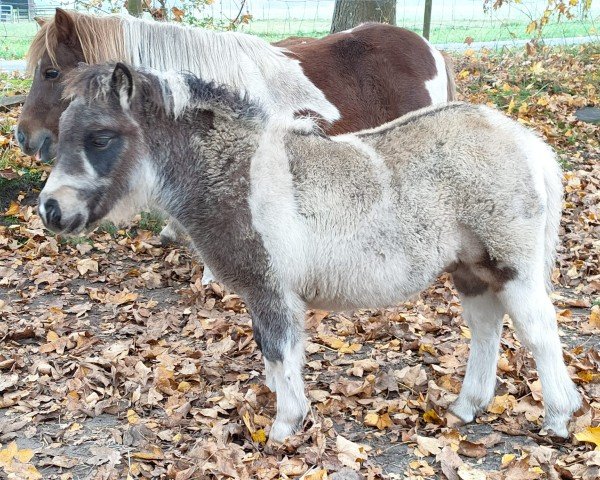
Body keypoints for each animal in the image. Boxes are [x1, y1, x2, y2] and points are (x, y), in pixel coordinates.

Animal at [38, 63, 580, 442]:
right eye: (62, 134)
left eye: (101, 137)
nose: (51, 210)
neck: (240, 175)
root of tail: (525, 140)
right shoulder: (261, 296)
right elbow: (272, 355)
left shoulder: (272, 292)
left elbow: (281, 354)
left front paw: (283, 427)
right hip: (471, 270)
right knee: (487, 328)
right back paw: (468, 406)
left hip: (514, 268)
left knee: (538, 332)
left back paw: (557, 418)